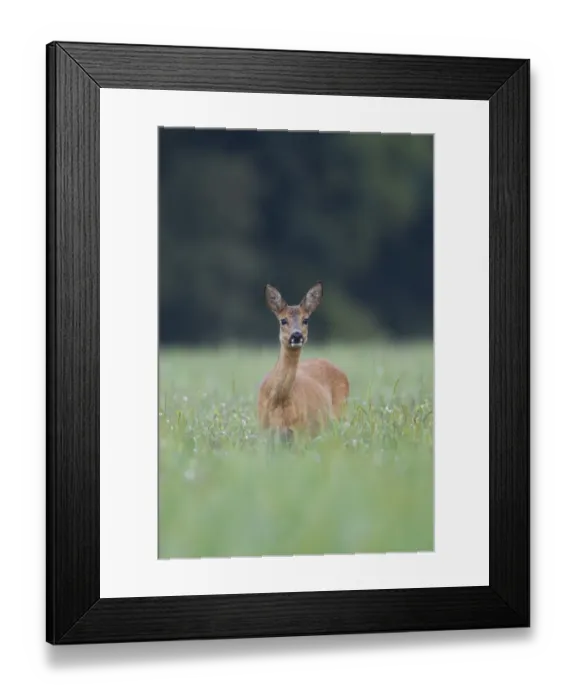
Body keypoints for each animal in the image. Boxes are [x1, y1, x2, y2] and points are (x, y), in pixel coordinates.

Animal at [257, 282, 350, 442]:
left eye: (305, 320)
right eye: (283, 320)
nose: (296, 335)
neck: (278, 400)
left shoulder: (301, 431)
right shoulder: (262, 430)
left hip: (340, 414)